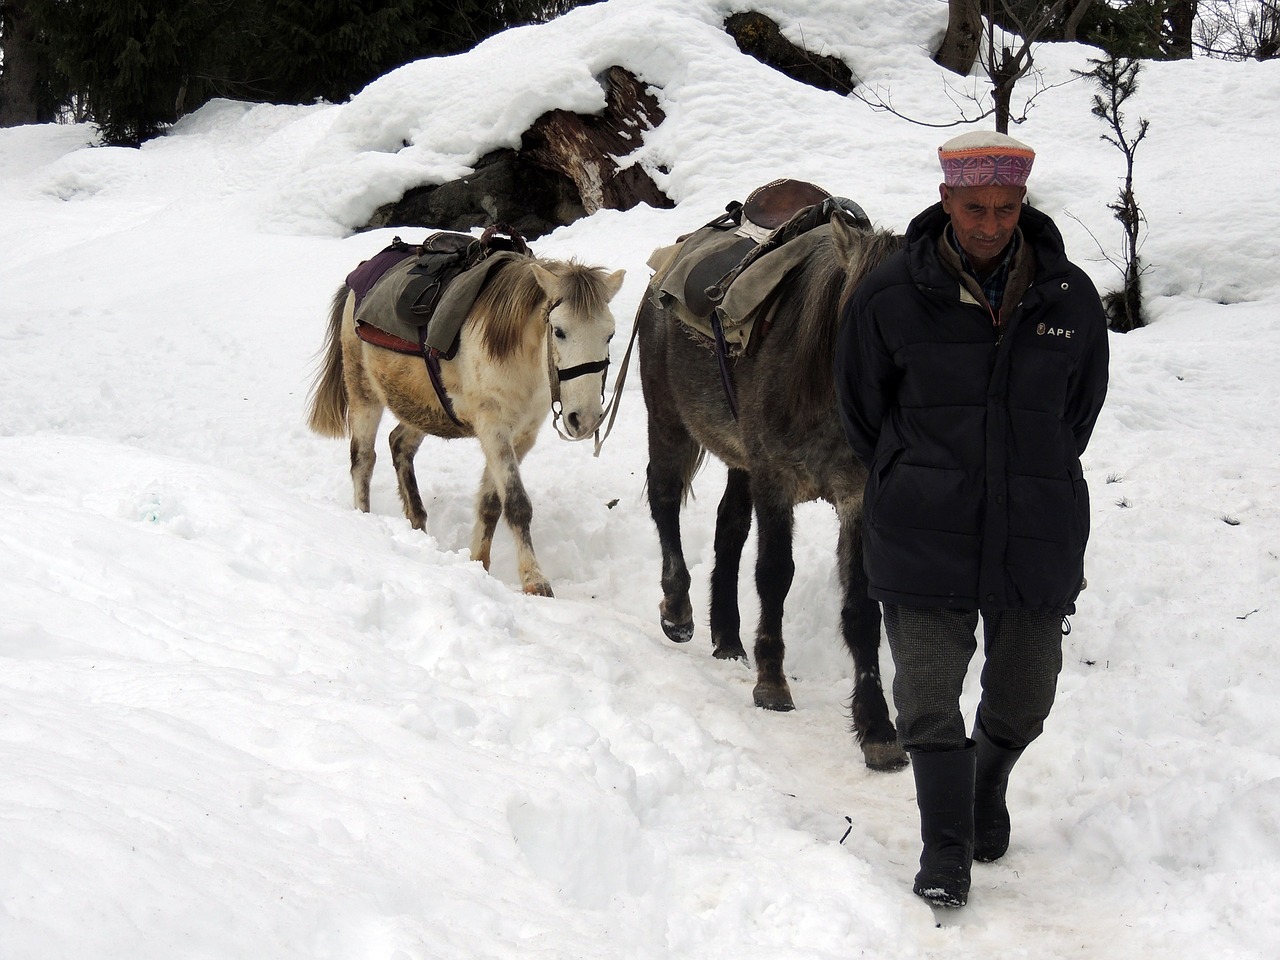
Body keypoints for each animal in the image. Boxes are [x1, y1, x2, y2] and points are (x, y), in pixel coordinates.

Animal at [312, 249, 627, 593]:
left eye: (610, 334)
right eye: (559, 331)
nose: (584, 419)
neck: (517, 355)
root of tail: (356, 280)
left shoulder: (521, 437)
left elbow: (491, 504)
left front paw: (480, 563)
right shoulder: (494, 429)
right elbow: (517, 504)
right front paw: (534, 579)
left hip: (422, 407)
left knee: (399, 444)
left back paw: (417, 522)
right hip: (363, 393)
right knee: (363, 460)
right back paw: (364, 519)